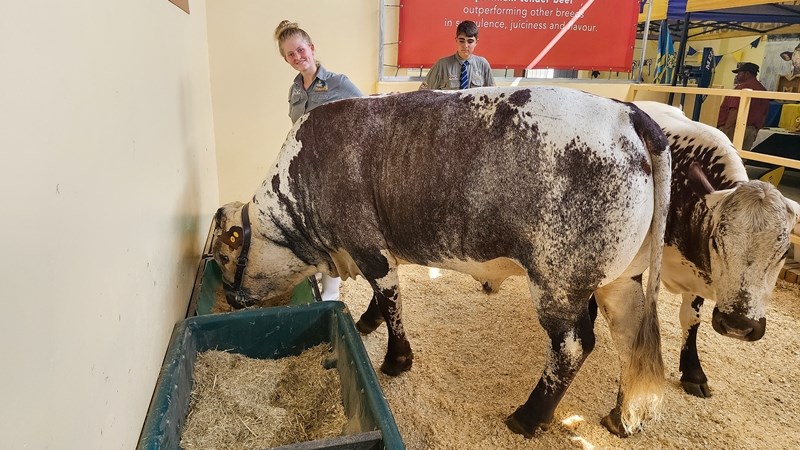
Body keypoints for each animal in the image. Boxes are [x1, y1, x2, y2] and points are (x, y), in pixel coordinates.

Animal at [214, 87, 676, 436]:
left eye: (223, 256)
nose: (231, 299)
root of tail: (629, 112)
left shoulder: (368, 248)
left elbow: (392, 304)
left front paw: (396, 360)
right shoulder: (384, 249)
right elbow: (383, 300)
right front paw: (366, 322)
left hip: (558, 280)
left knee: (574, 345)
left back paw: (528, 418)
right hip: (621, 279)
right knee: (630, 336)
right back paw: (622, 417)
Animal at [636, 101, 796, 398]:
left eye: (783, 253)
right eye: (716, 241)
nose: (738, 325)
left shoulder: (699, 277)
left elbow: (691, 318)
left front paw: (693, 372)